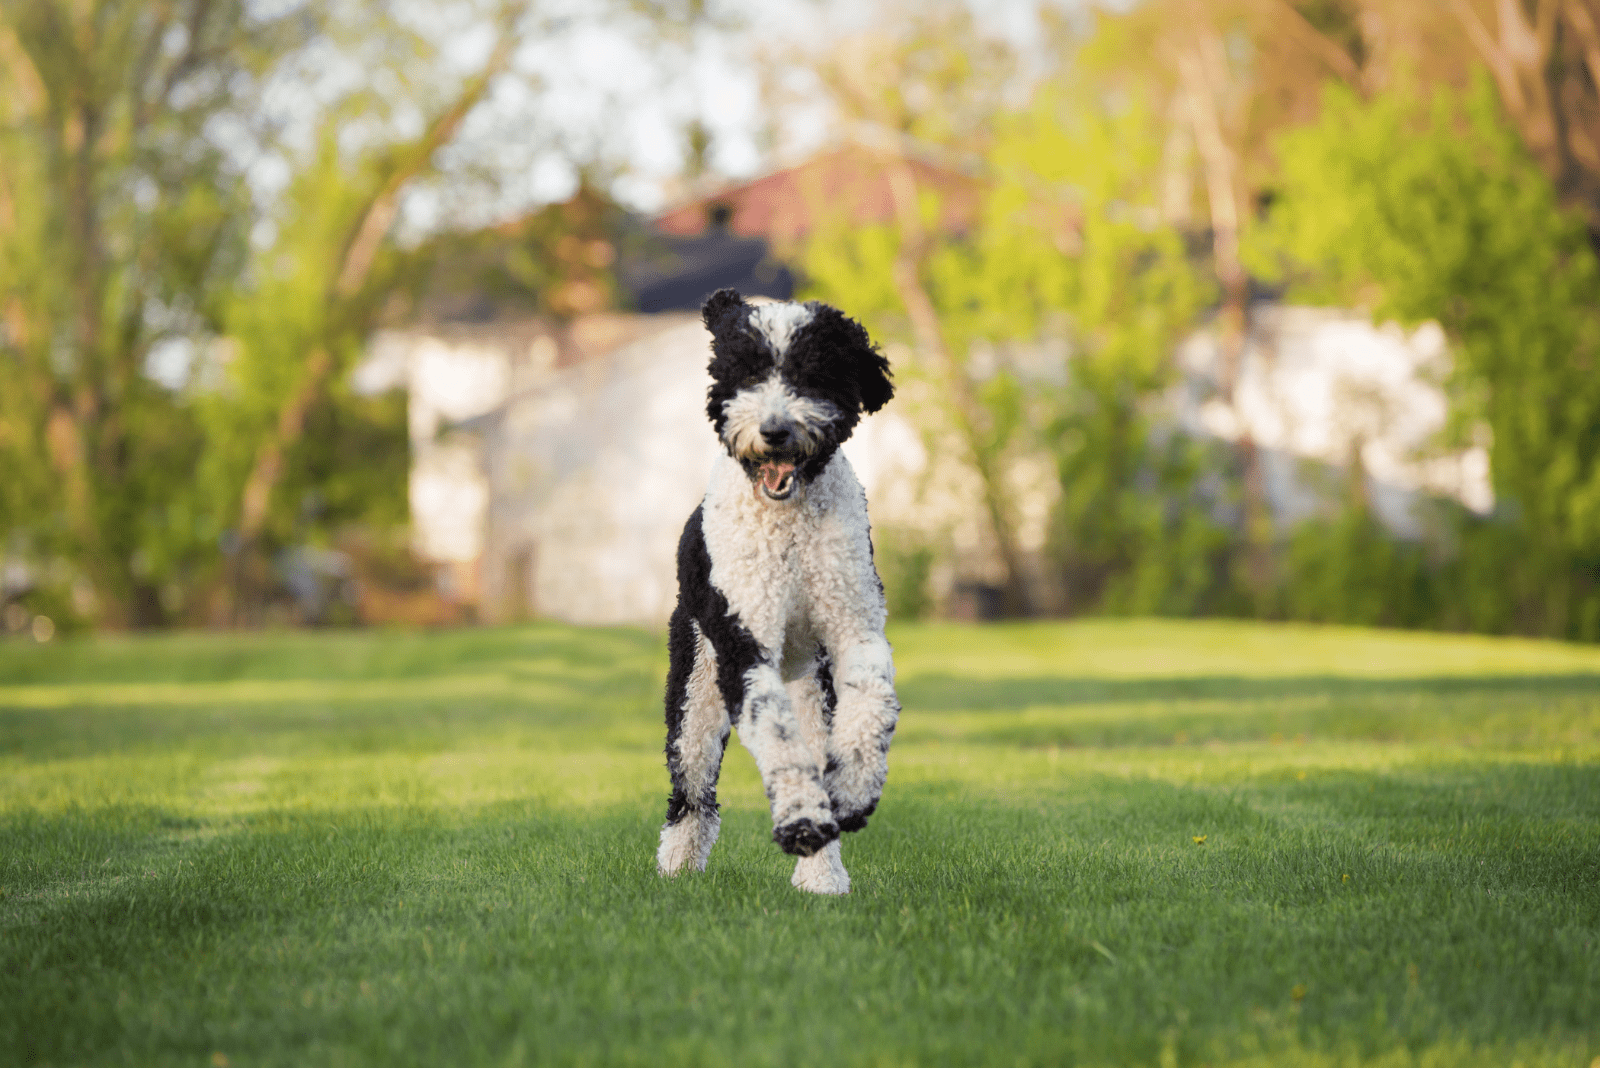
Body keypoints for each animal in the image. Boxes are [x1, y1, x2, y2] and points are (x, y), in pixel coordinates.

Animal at [652, 287, 902, 895]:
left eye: (814, 373)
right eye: (745, 370)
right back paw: (677, 868)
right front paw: (801, 822)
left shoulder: (854, 626)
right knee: (692, 791)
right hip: (696, 690)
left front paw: (853, 791)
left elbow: (873, 697)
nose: (774, 430)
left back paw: (822, 876)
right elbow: (773, 733)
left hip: (811, 685)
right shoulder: (744, 645)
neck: (788, 527)